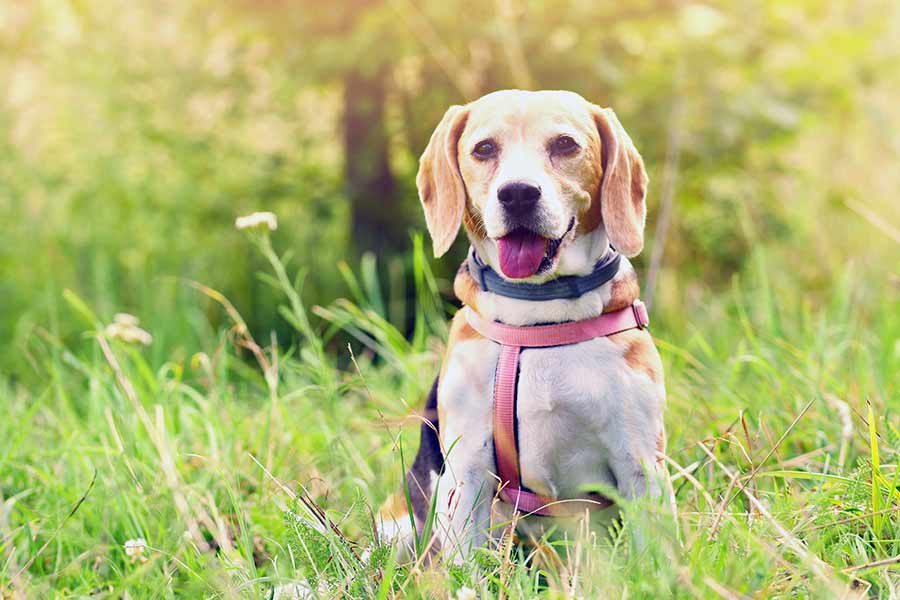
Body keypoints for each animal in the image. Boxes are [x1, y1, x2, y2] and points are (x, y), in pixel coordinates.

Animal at [380, 90, 668, 564]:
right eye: (484, 149)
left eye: (565, 145)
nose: (517, 194)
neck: (541, 314)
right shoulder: (468, 470)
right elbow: (467, 565)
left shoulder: (641, 463)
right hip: (397, 526)